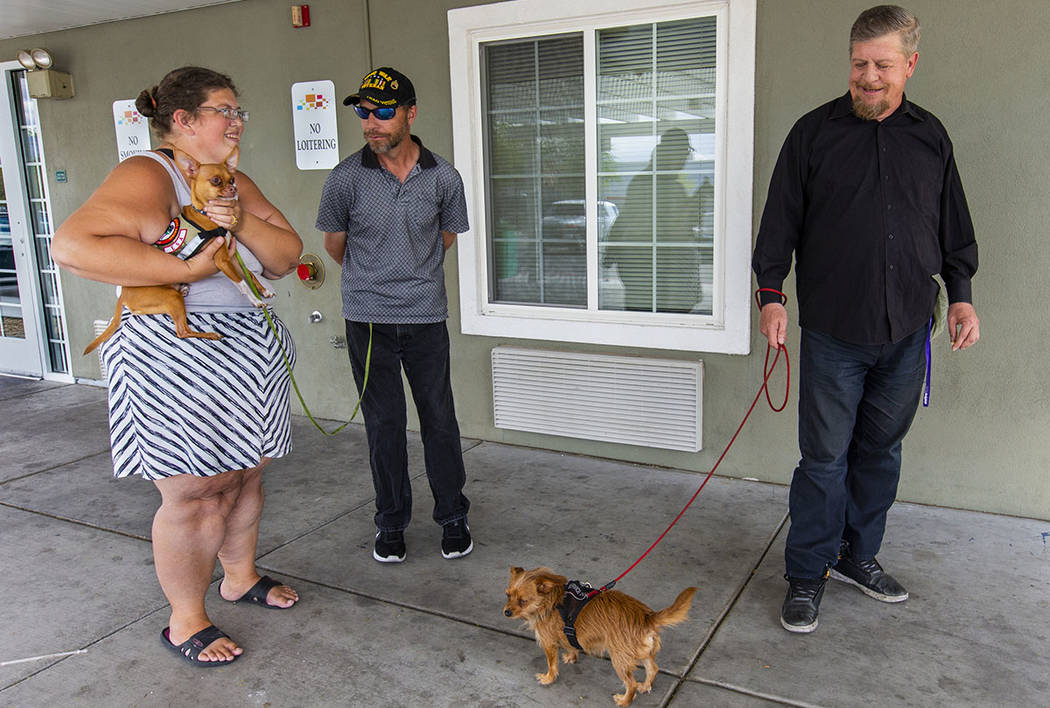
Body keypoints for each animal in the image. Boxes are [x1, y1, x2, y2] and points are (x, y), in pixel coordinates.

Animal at [84, 144, 273, 352]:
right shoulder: (222, 261)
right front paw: (256, 301)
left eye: (232, 178)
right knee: (182, 331)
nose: (234, 187)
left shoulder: (231, 257)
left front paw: (264, 291)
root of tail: (123, 296)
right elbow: (242, 283)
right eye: (216, 180)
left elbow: (250, 275)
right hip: (170, 297)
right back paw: (211, 334)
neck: (205, 214)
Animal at [501, 567, 692, 701]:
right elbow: (571, 645)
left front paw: (548, 678)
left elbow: (552, 664)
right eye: (508, 595)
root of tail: (646, 617)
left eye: (522, 601)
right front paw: (571, 657)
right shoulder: (567, 634)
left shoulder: (548, 643)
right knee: (652, 669)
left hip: (619, 659)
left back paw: (624, 701)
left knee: (630, 684)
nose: (506, 612)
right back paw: (645, 686)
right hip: (640, 652)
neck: (551, 601)